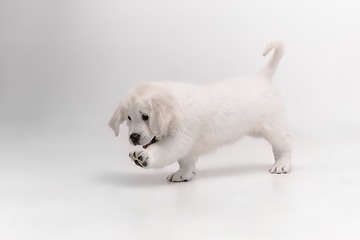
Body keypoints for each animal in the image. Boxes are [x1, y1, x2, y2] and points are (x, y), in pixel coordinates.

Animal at [108, 42, 292, 183]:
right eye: (129, 118)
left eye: (145, 116)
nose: (134, 137)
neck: (175, 111)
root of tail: (261, 77)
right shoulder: (185, 145)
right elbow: (185, 161)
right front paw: (183, 174)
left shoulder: (179, 139)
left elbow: (162, 150)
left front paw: (143, 156)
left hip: (272, 127)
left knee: (284, 145)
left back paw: (282, 164)